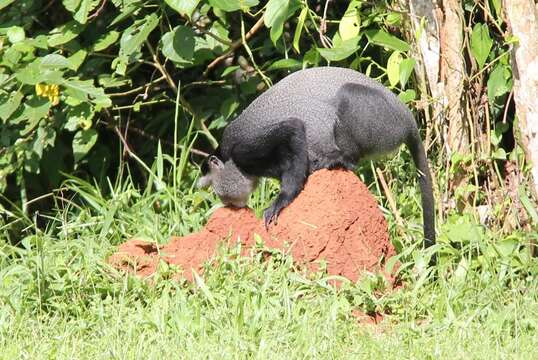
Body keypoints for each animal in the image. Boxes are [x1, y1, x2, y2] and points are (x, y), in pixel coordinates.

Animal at [199, 67, 434, 252]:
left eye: (214, 187)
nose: (226, 203)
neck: (233, 161)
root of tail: (407, 118)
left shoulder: (245, 147)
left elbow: (293, 128)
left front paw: (281, 201)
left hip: (382, 121)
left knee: (348, 96)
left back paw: (339, 159)